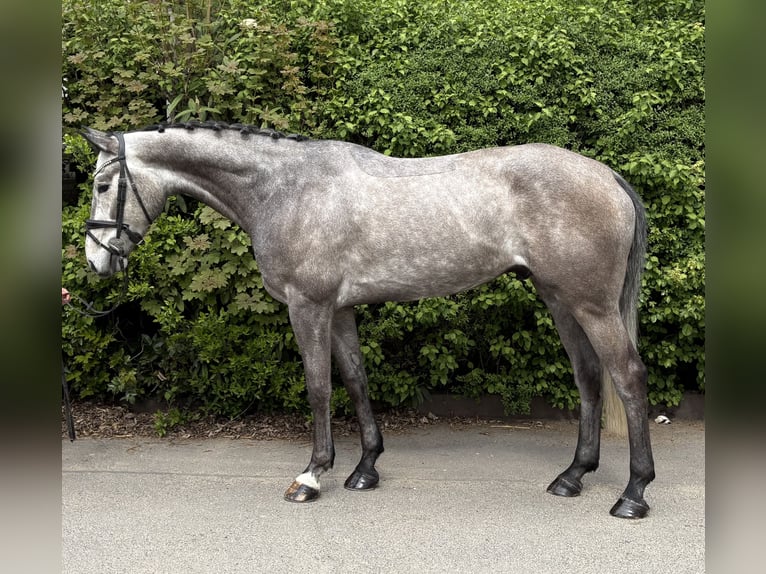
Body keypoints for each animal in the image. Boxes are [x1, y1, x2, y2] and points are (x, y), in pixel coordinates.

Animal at [81, 121, 655, 519]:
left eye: (105, 184)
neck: (285, 188)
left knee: (627, 377)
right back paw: (573, 476)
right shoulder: (340, 310)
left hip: (592, 305)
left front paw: (312, 476)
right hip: (560, 299)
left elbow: (319, 387)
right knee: (588, 377)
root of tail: (606, 175)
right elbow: (356, 381)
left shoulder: (308, 306)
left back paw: (633, 494)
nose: (95, 261)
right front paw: (365, 468)